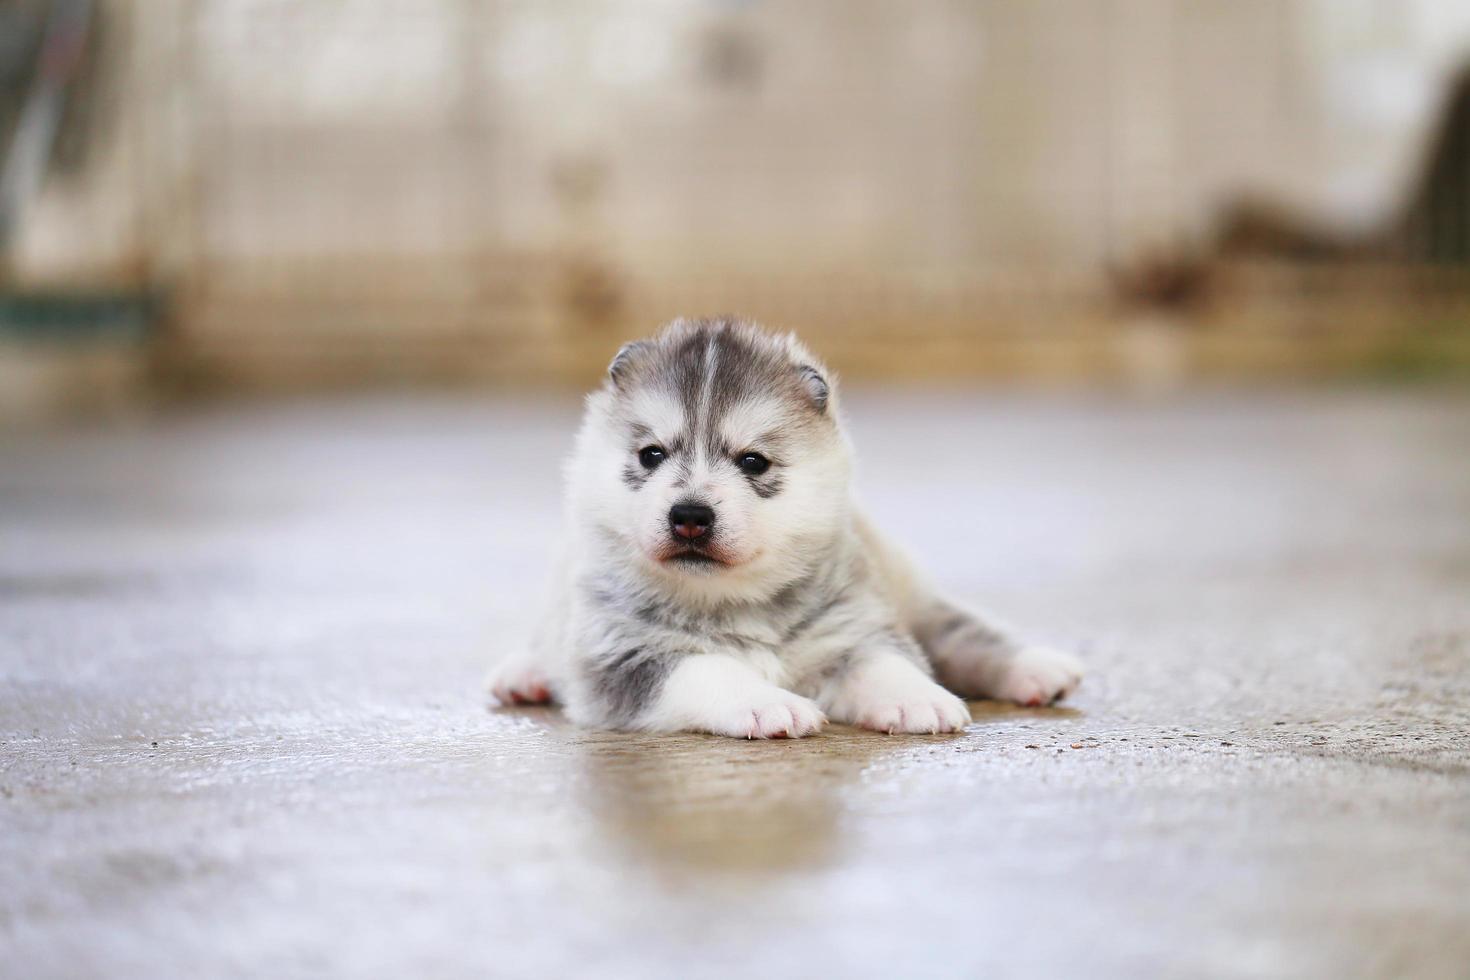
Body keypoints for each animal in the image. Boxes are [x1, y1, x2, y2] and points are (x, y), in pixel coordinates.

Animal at [490, 315, 1081, 734]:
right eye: (651, 454)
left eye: (753, 461)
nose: (690, 516)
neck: (730, 602)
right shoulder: (622, 657)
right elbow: (709, 668)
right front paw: (768, 704)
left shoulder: (852, 628)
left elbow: (883, 662)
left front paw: (919, 697)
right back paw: (525, 676)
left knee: (962, 632)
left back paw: (1036, 668)